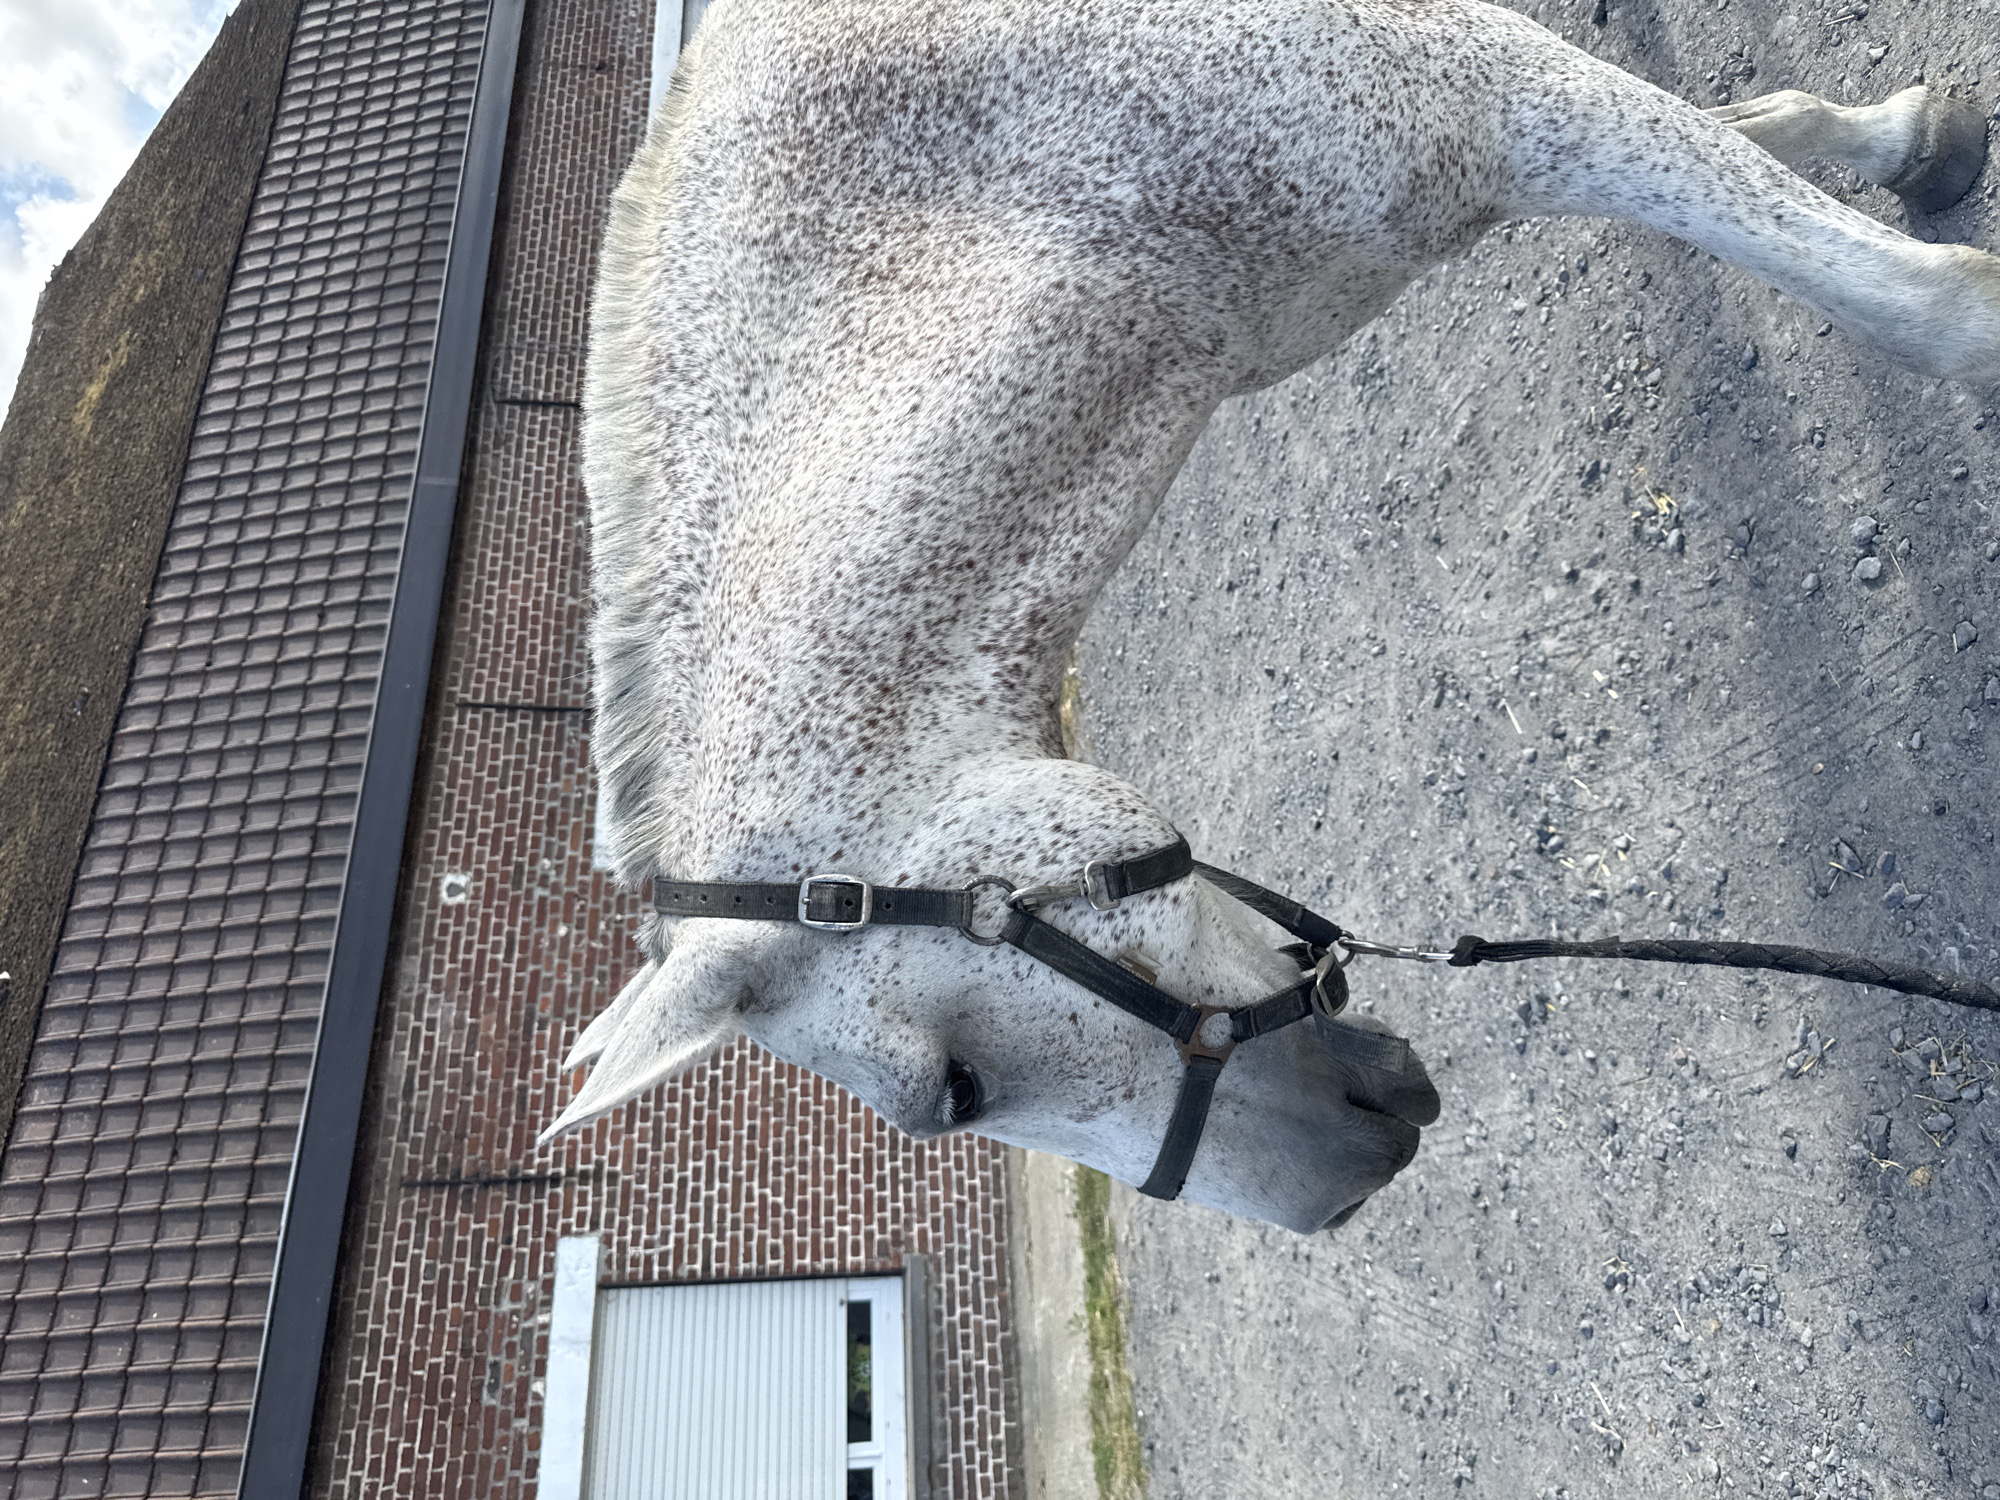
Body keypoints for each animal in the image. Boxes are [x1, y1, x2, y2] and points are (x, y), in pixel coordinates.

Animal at [542, 0, 1996, 1232]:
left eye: (955, 1094)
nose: (1345, 1189)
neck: (998, 169)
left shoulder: (1490, 88)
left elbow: (1922, 309)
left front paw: (1914, 164)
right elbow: (1743, 148)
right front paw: (1881, 141)